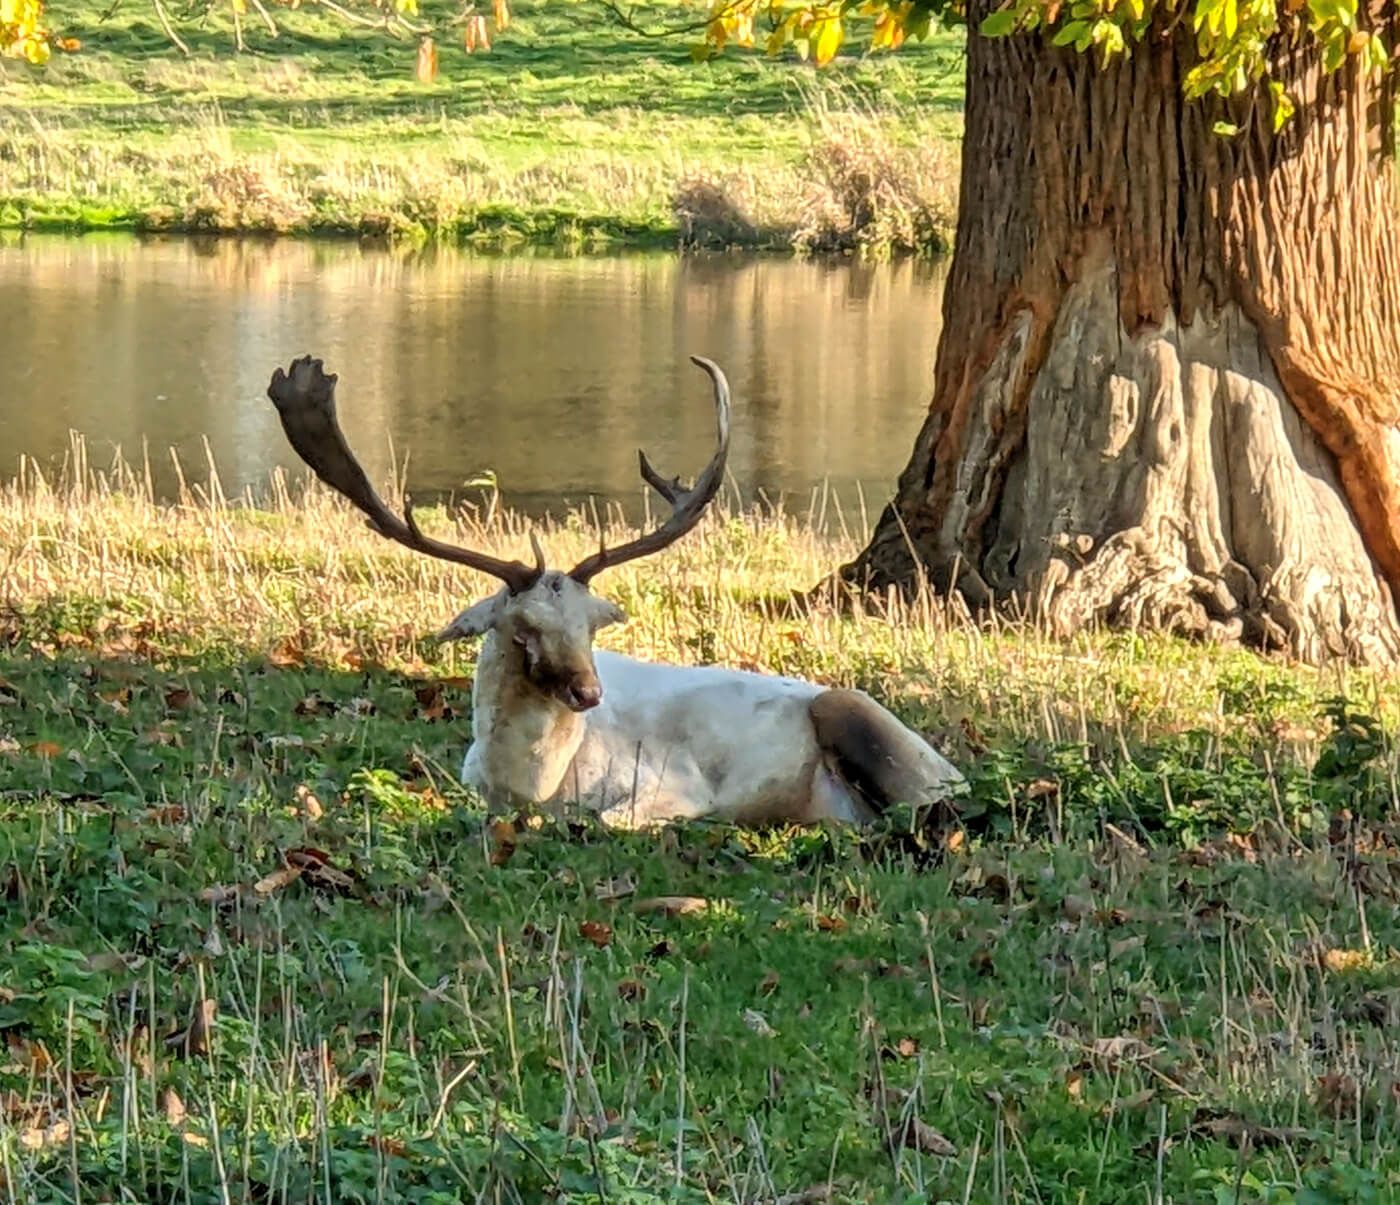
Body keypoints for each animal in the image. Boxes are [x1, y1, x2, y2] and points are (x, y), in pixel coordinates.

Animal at [266, 354, 964, 830]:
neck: (530, 786)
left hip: (865, 720)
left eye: (592, 625)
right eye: (523, 627)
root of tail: (951, 768)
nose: (588, 692)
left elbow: (609, 819)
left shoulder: (675, 783)